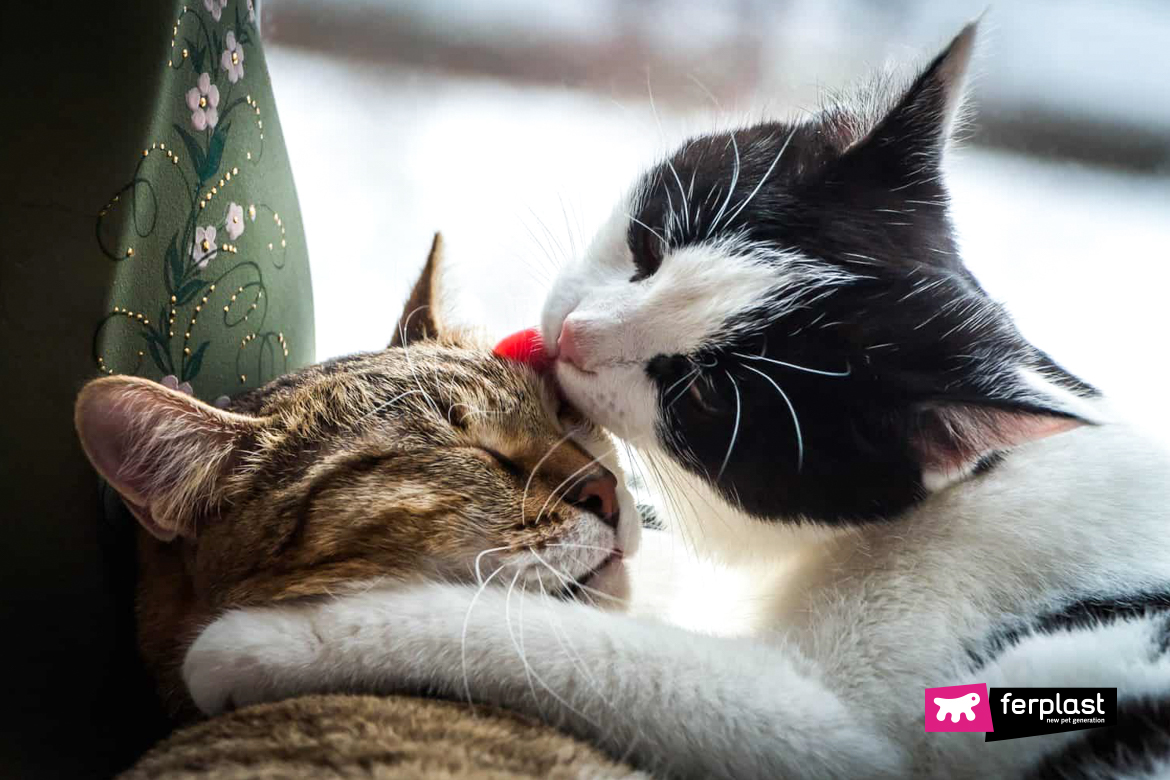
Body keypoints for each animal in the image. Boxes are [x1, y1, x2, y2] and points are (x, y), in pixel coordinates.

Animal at [180, 24, 1170, 780]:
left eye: (697, 394)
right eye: (651, 244)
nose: (572, 334)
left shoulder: (832, 723)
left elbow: (561, 645)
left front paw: (264, 641)